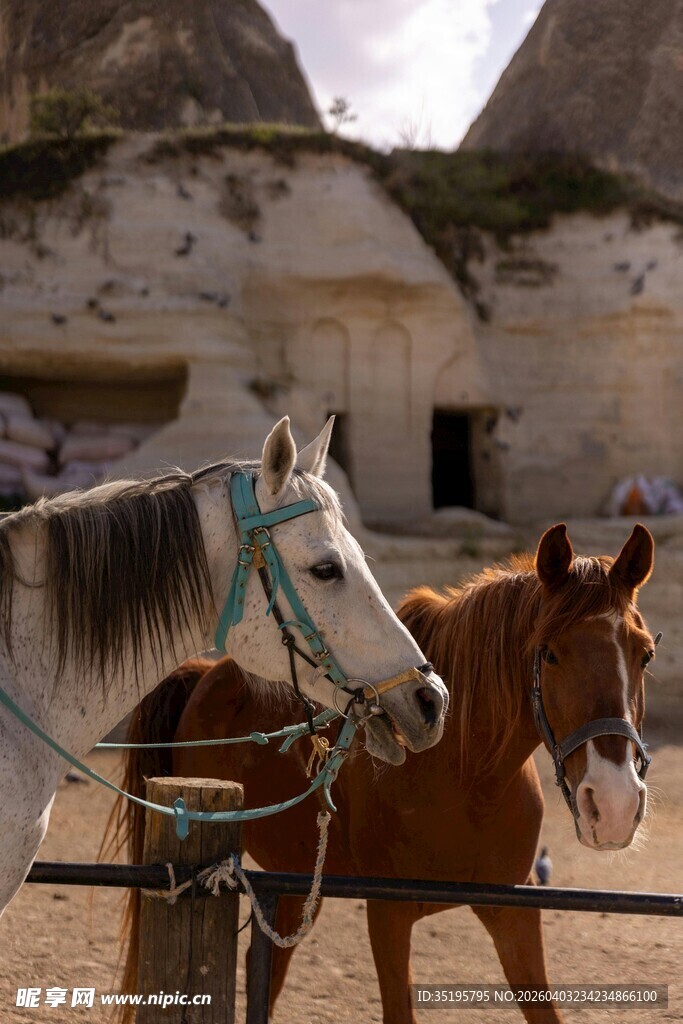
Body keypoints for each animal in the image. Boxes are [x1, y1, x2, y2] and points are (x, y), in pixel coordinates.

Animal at [112, 521, 657, 1024]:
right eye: (550, 653)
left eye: (645, 654)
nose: (614, 804)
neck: (465, 779)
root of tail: (206, 674)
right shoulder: (389, 915)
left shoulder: (512, 913)